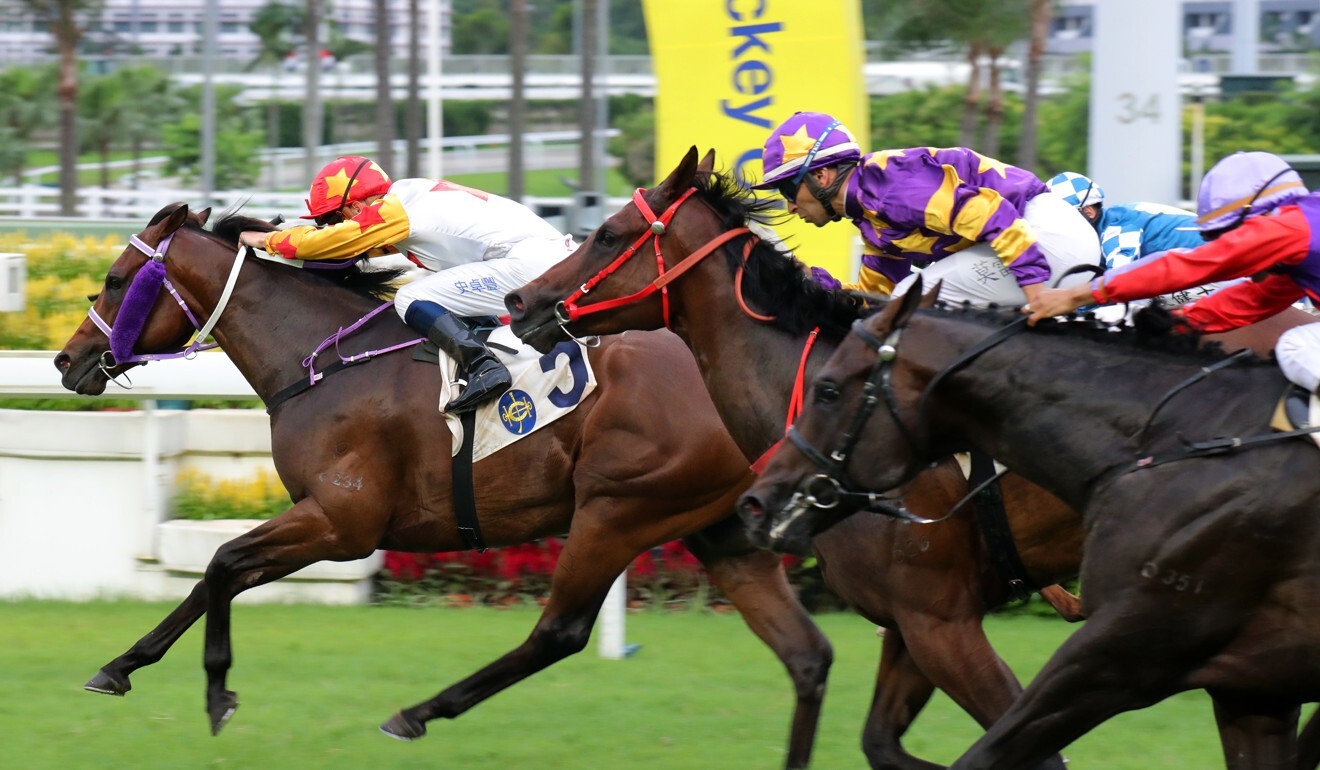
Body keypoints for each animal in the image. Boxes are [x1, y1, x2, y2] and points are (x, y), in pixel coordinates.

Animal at [56, 202, 834, 766]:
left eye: (118, 280)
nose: (69, 360)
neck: (324, 362)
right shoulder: (326, 520)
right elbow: (209, 578)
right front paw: (119, 666)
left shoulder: (342, 522)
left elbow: (221, 565)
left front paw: (217, 692)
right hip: (719, 529)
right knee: (806, 654)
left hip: (620, 508)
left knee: (559, 631)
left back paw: (417, 712)